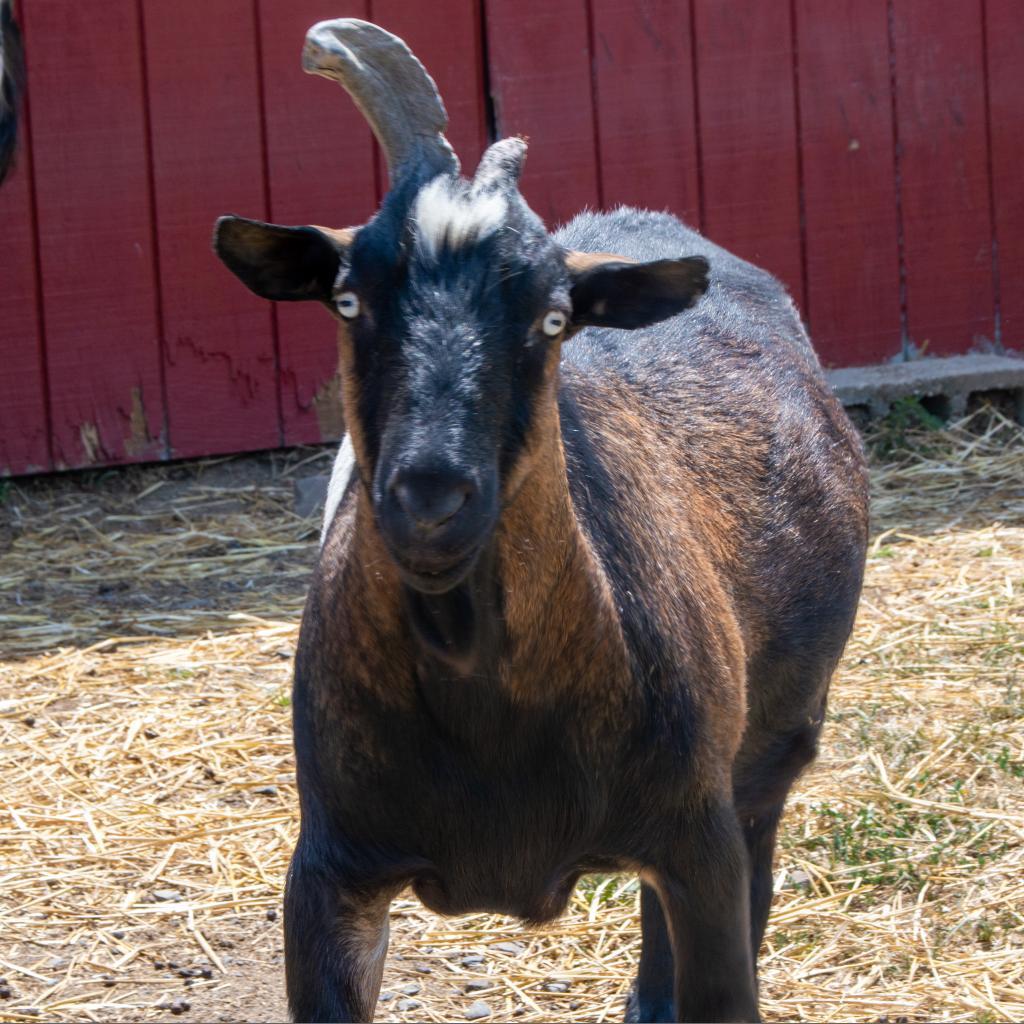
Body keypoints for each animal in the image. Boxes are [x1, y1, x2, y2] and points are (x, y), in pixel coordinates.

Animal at [213, 19, 868, 1023]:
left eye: (554, 317)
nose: (431, 495)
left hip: (766, 757)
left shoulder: (698, 840)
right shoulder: (329, 871)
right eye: (349, 299)